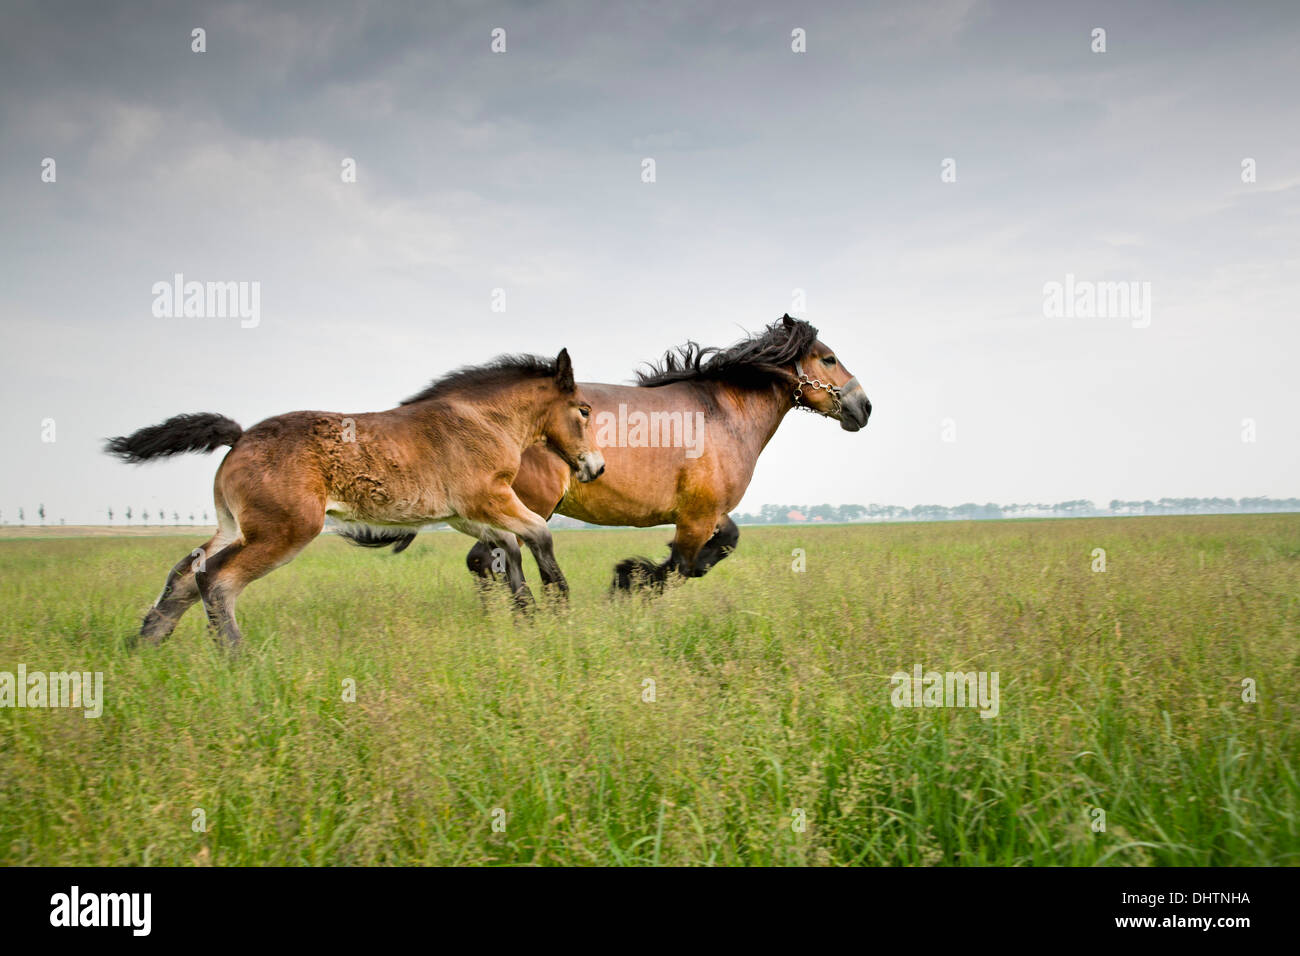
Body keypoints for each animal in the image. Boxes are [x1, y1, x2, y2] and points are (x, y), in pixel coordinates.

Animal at [106, 348, 603, 647]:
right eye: (583, 410)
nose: (596, 467)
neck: (481, 420)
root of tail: (241, 436)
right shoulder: (489, 498)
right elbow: (538, 536)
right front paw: (559, 605)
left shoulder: (466, 514)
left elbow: (509, 548)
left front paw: (527, 616)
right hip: (284, 531)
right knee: (217, 580)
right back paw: (236, 658)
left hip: (234, 526)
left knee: (186, 573)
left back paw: (145, 644)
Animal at [462, 316, 868, 590]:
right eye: (829, 359)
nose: (864, 406)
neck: (721, 414)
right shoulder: (697, 518)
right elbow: (681, 567)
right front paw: (628, 581)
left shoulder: (707, 511)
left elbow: (724, 543)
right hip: (527, 506)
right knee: (488, 559)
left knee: (485, 560)